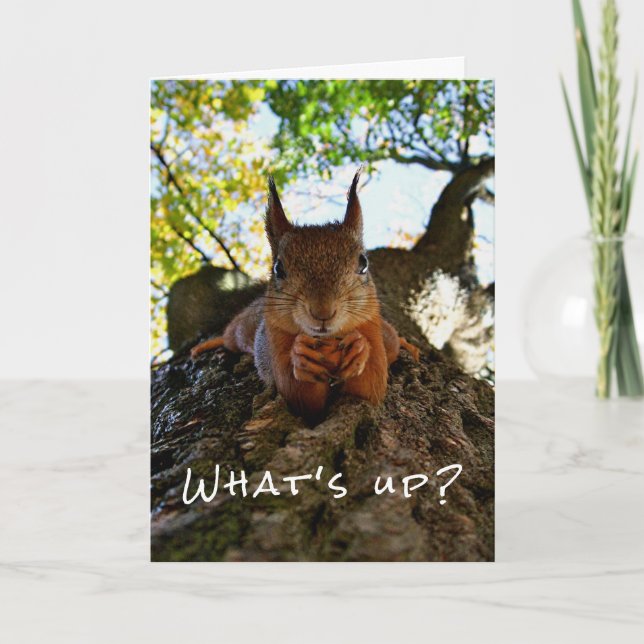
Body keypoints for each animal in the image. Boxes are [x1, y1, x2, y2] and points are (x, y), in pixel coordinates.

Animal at [191, 170, 420, 419]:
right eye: (278, 268)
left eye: (363, 263)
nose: (322, 312)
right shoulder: (275, 341)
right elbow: (299, 396)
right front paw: (301, 357)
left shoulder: (372, 330)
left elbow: (371, 387)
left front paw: (359, 349)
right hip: (242, 330)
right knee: (230, 336)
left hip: (387, 336)